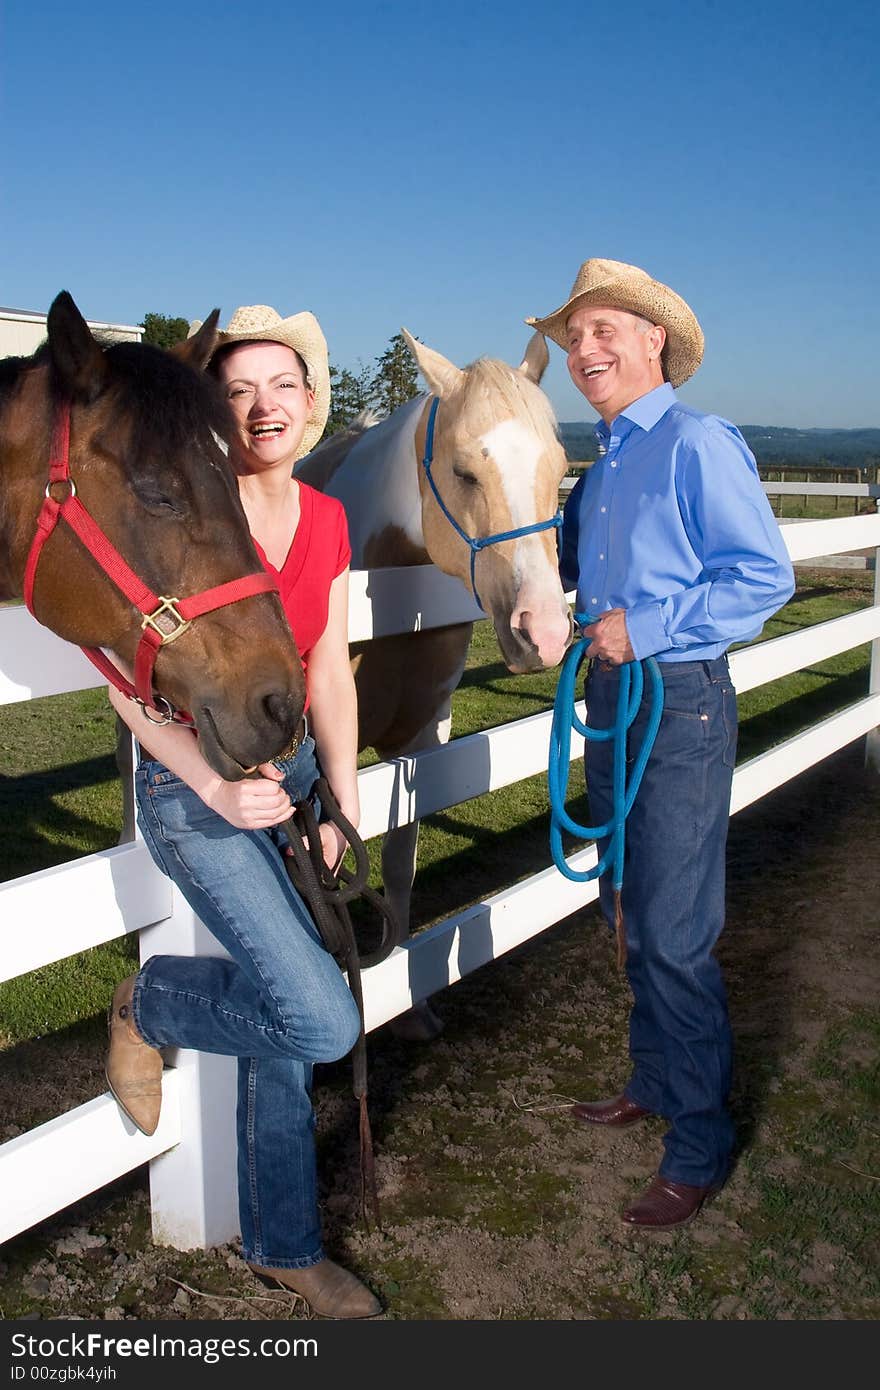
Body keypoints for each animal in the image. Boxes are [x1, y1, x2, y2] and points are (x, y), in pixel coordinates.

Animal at [294, 330, 569, 1039]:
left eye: (560, 470)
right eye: (466, 472)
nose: (546, 631)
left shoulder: (422, 740)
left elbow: (397, 866)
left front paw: (410, 1003)